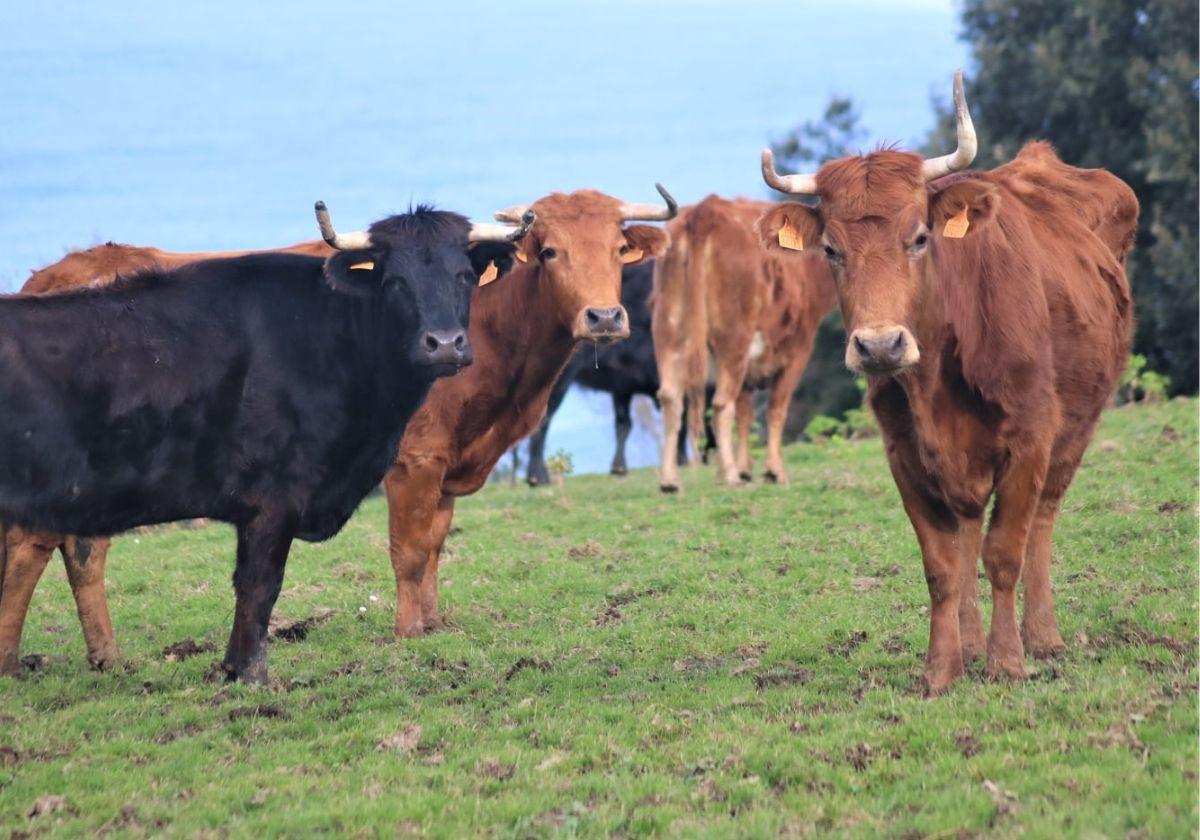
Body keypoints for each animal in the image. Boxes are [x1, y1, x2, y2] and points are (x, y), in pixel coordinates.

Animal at [652, 195, 840, 492]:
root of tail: (706, 211)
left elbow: (744, 414)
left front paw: (741, 469)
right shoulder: (797, 352)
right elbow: (775, 410)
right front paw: (771, 471)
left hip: (668, 333)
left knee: (671, 397)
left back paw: (670, 480)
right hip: (734, 340)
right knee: (720, 405)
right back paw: (728, 476)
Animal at [753, 70, 1137, 691]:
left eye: (919, 238)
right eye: (831, 250)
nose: (879, 345)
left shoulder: (1030, 437)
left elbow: (1004, 551)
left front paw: (1008, 662)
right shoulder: (904, 451)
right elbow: (942, 565)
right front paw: (942, 670)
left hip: (1075, 428)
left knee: (1043, 521)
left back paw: (1043, 638)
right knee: (967, 533)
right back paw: (973, 646)